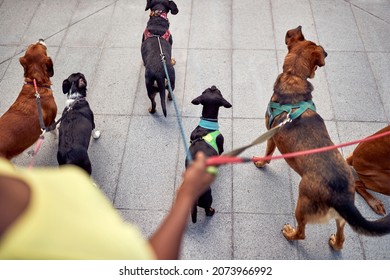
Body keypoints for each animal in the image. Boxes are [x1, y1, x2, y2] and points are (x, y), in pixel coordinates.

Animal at [186, 85, 232, 223]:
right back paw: (211, 211)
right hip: (208, 197)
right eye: (219, 92)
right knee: (207, 210)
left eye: (204, 91)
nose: (213, 86)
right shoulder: (221, 147)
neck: (206, 128)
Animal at [253, 25, 390, 249]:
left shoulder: (271, 134)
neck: (294, 76)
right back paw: (334, 243)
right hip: (340, 217)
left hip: (302, 203)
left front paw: (260, 162)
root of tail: (342, 197)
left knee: (302, 233)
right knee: (342, 237)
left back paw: (289, 233)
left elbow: (267, 153)